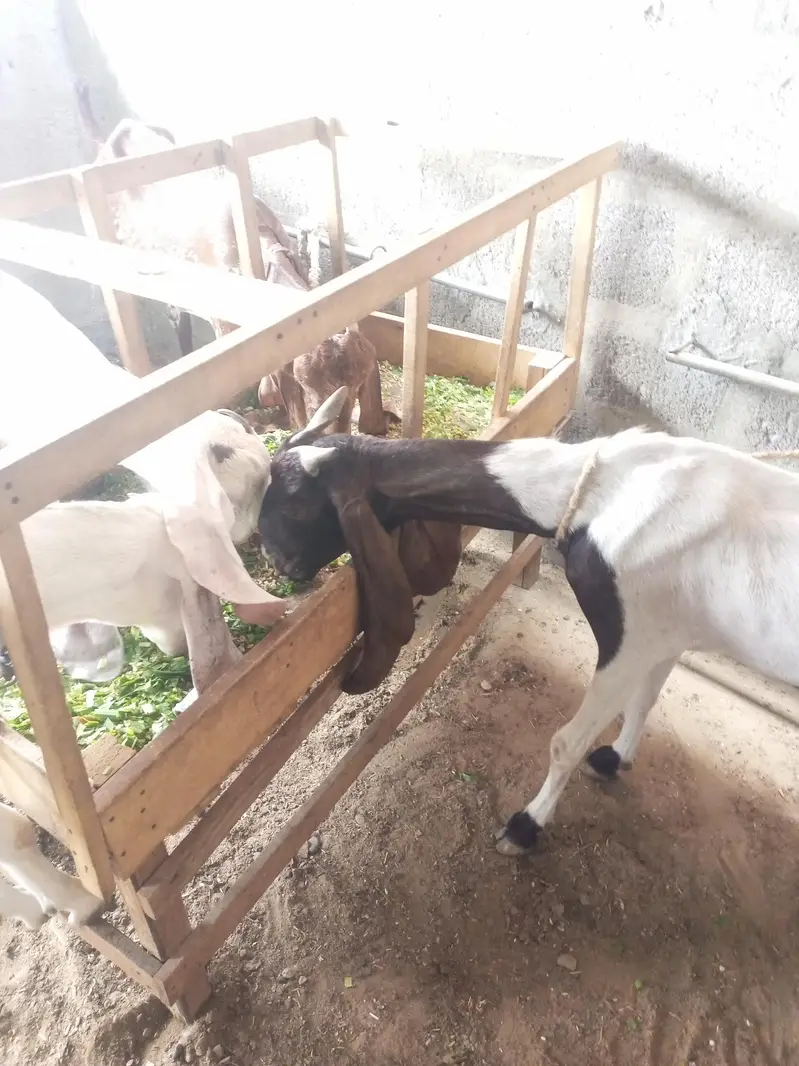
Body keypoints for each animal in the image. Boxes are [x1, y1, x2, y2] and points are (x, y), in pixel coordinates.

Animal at [256, 388, 799, 856]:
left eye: (296, 505)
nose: (277, 563)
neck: (604, 493)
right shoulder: (665, 629)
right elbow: (645, 701)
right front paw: (615, 759)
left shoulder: (629, 636)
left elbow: (567, 741)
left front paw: (526, 826)